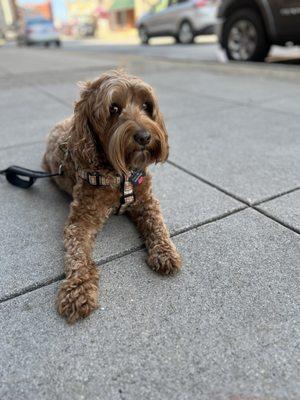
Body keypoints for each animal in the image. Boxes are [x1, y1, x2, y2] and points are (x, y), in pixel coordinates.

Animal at [42, 70, 182, 324]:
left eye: (146, 106)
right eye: (114, 108)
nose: (144, 136)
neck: (121, 175)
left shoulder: (146, 201)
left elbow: (157, 225)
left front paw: (165, 251)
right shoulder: (80, 221)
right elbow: (78, 255)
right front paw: (77, 290)